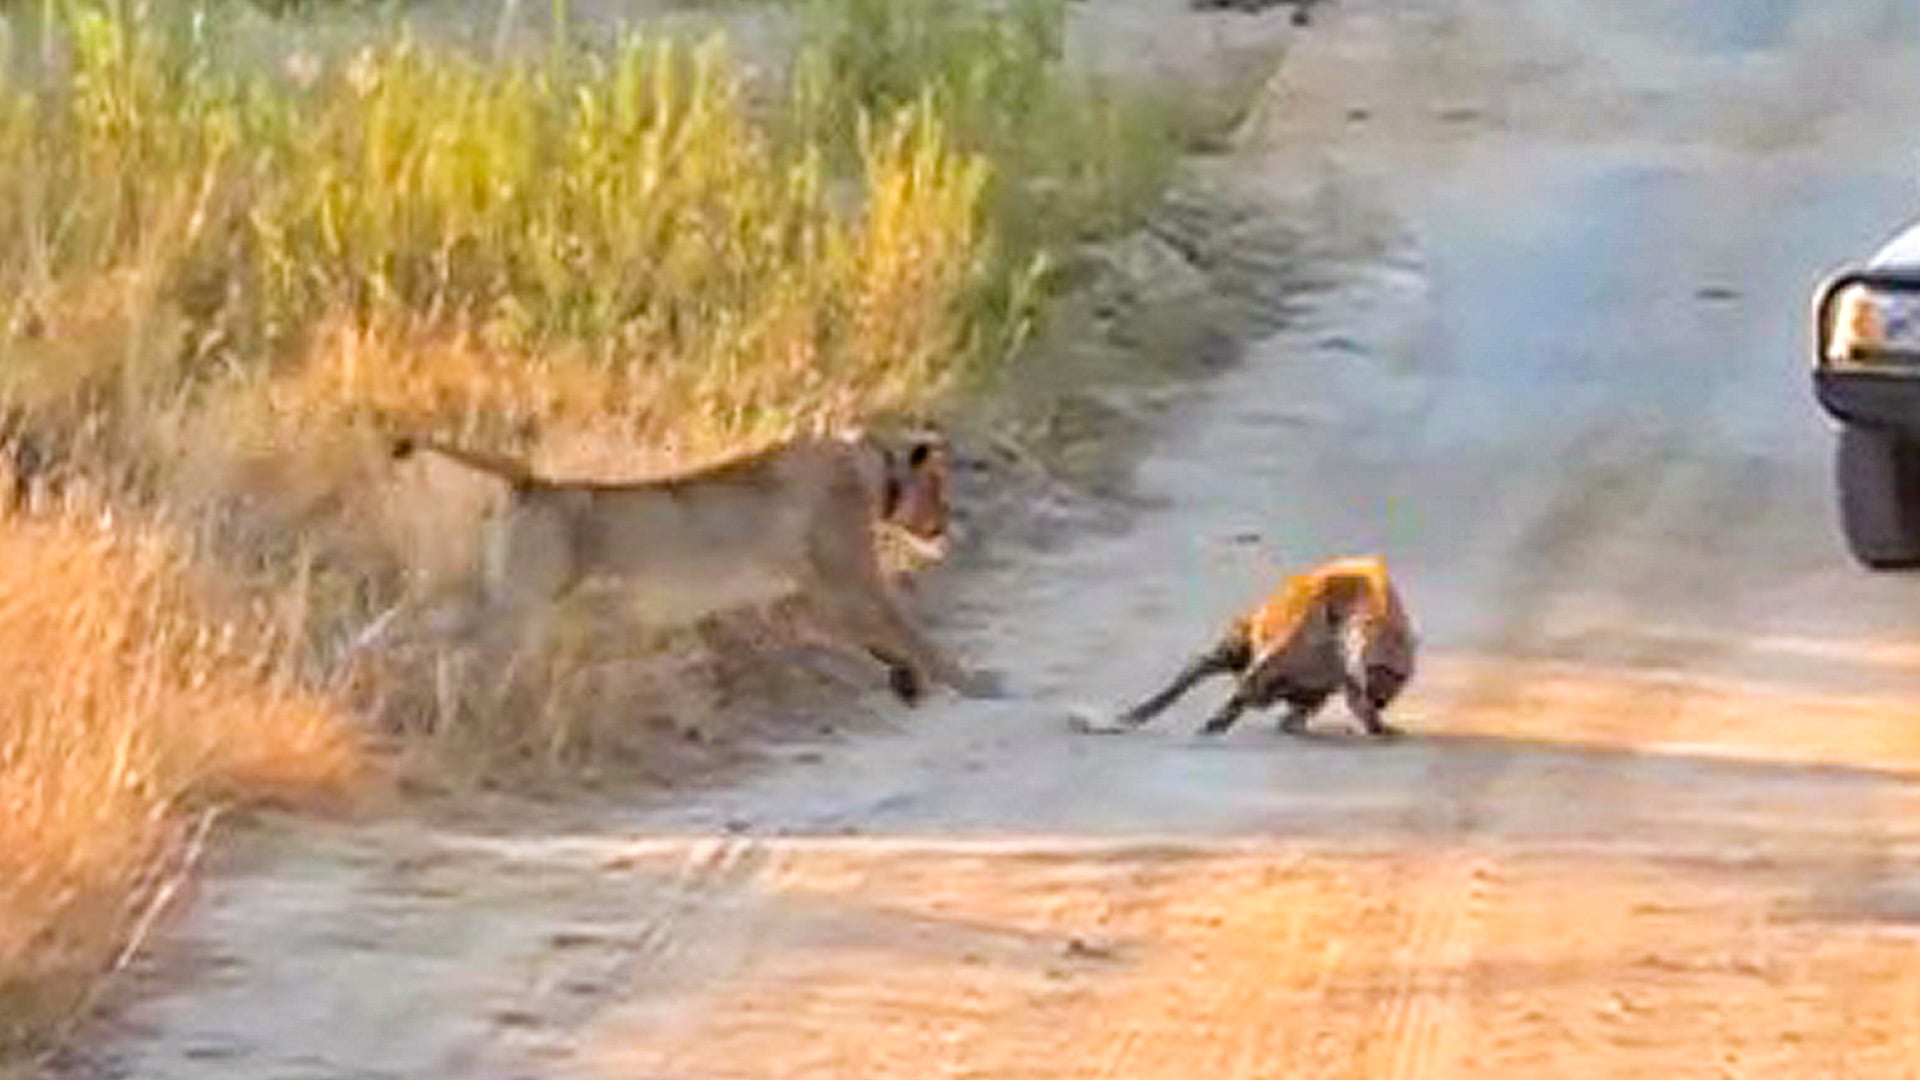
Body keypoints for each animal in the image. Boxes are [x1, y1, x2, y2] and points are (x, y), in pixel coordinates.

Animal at [387, 428, 999, 705]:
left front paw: (908, 681)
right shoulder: (848, 581)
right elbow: (911, 632)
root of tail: (533, 481)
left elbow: (880, 639)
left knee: (419, 623)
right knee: (455, 647)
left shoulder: (817, 596)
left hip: (499, 591)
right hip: (521, 604)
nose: (945, 523)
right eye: (939, 488)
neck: (869, 467)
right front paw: (975, 680)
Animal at [1075, 555, 1416, 737]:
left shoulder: (1337, 677)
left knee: (1295, 709)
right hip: (1240, 642)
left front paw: (1380, 726)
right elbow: (1243, 689)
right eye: (1376, 668)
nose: (1380, 700)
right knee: (1201, 667)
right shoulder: (1283, 657)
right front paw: (1212, 725)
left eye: (1398, 677)